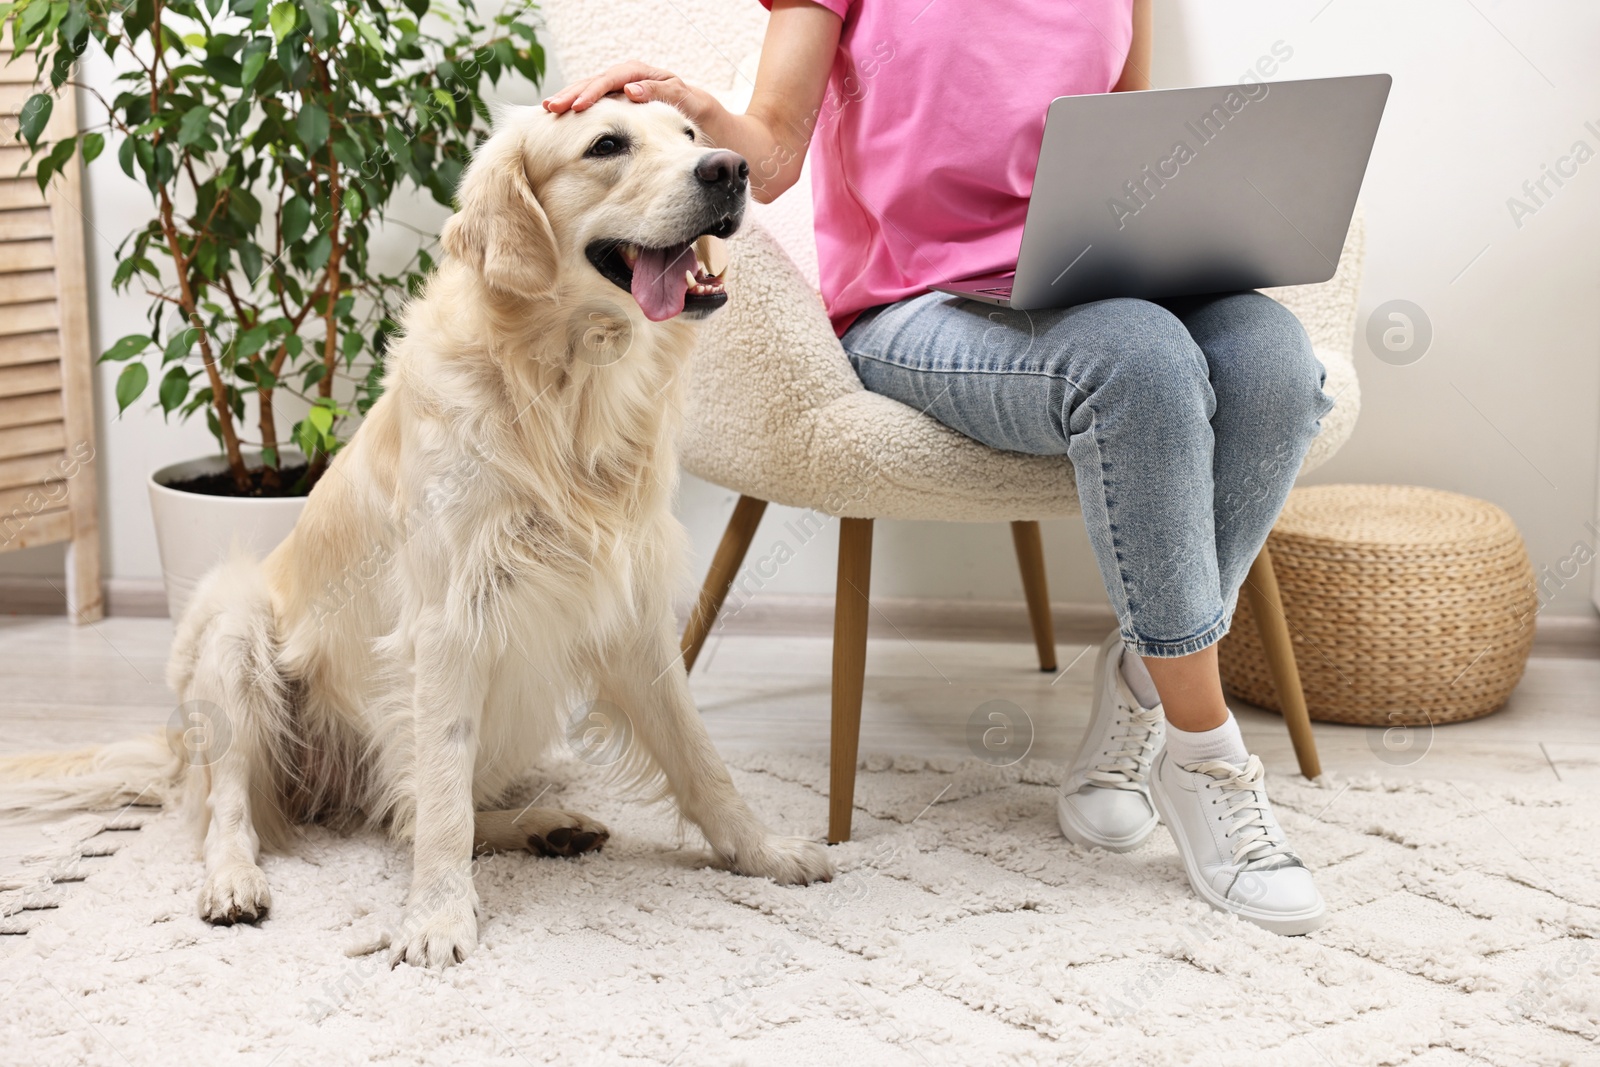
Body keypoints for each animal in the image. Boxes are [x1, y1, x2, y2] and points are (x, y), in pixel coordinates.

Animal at [3, 99, 838, 966]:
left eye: (690, 134)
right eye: (607, 144)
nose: (731, 171)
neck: (562, 386)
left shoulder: (633, 617)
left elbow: (700, 758)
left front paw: (763, 851)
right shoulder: (446, 624)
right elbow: (441, 799)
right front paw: (437, 917)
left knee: (399, 811)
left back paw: (548, 825)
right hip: (233, 628)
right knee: (244, 805)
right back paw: (235, 879)